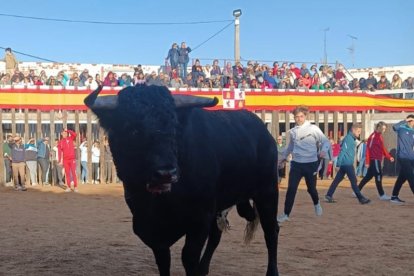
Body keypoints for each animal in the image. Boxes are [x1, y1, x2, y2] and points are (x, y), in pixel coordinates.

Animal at [83, 85, 278, 274]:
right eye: (132, 130)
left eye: (175, 128)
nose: (166, 173)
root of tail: (263, 130)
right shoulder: (151, 230)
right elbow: (163, 261)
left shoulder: (200, 220)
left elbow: (189, 258)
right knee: (217, 234)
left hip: (268, 191)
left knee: (271, 231)